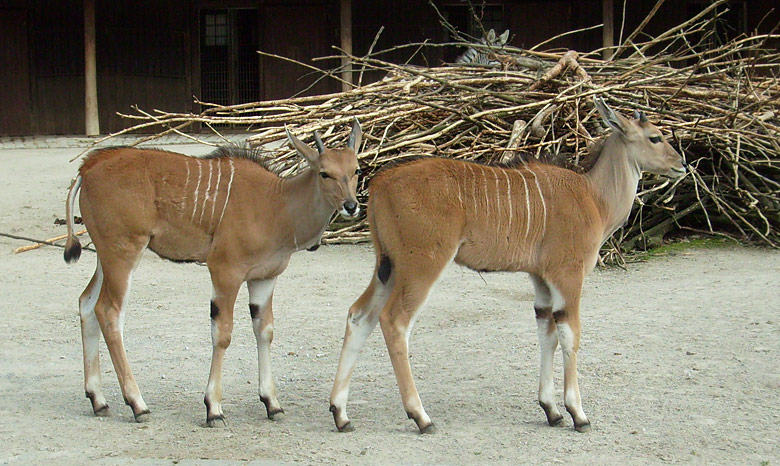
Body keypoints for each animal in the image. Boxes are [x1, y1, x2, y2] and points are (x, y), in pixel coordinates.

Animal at [64, 117, 362, 426]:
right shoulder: (225, 270)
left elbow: (264, 330)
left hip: (105, 257)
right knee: (109, 313)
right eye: (324, 173)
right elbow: (223, 333)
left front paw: (272, 403)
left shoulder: (263, 278)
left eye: (356, 170)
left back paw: (98, 400)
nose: (351, 206)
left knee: (87, 304)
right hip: (123, 252)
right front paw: (214, 408)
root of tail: (89, 167)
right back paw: (138, 404)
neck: (276, 203)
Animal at [328, 98, 684, 434]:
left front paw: (551, 410)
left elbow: (547, 331)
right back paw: (420, 416)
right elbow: (570, 334)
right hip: (421, 264)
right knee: (395, 321)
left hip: (387, 266)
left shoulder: (541, 279)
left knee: (359, 315)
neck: (594, 197)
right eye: (655, 137)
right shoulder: (568, 275)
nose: (681, 163)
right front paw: (578, 414)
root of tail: (380, 184)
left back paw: (341, 413)